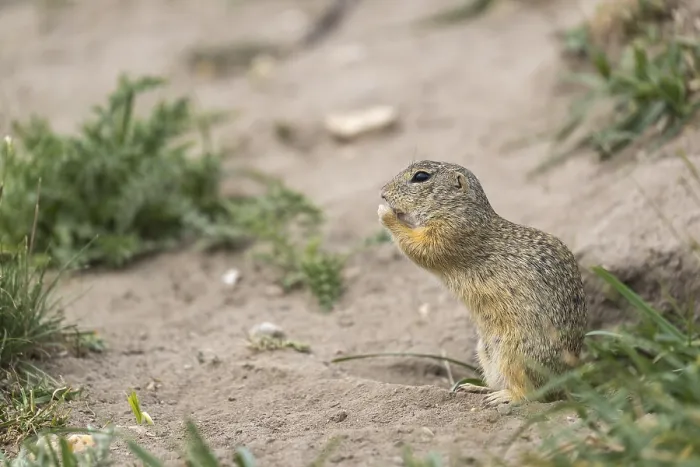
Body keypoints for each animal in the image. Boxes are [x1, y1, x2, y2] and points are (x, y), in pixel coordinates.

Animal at [378, 160, 588, 407]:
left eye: (421, 177)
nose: (383, 193)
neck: (461, 210)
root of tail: (564, 386)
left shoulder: (450, 234)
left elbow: (421, 248)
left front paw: (385, 213)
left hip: (516, 355)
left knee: (533, 394)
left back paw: (503, 396)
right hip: (486, 352)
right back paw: (475, 388)